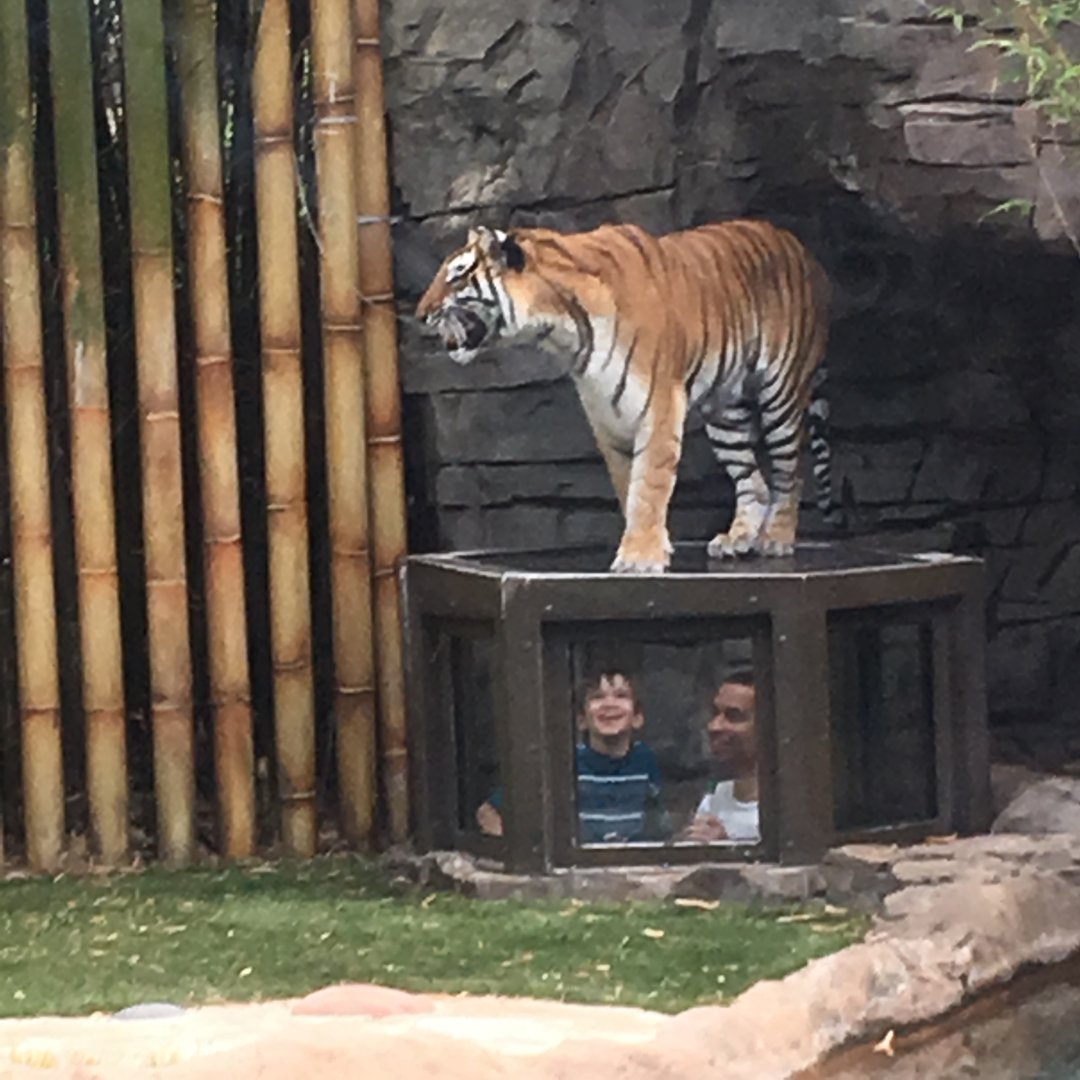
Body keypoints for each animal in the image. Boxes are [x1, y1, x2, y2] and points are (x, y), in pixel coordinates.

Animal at [416, 219, 833, 573]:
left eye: (457, 275)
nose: (420, 315)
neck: (560, 327)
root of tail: (799, 245)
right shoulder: (606, 415)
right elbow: (628, 485)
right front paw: (649, 547)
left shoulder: (660, 405)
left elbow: (648, 485)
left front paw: (639, 559)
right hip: (725, 413)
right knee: (752, 481)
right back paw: (738, 538)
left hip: (780, 394)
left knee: (790, 471)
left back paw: (776, 538)